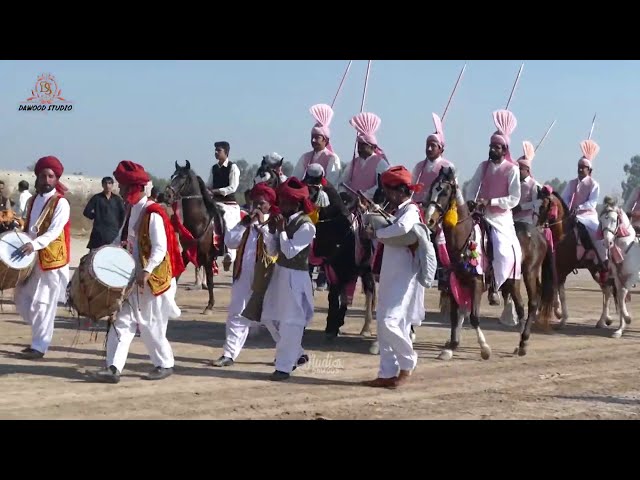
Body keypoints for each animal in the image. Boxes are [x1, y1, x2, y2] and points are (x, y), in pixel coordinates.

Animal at [166, 159, 226, 314]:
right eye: (172, 175)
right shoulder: (187, 252)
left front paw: (209, 306)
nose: (167, 195)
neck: (200, 221)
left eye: (182, 177)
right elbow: (177, 276)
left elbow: (210, 281)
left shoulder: (208, 256)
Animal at [424, 167, 556, 358]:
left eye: (445, 191)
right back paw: (520, 343)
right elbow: (456, 315)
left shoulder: (477, 282)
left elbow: (473, 316)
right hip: (513, 279)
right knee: (520, 306)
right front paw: (451, 346)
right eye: (432, 189)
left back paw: (524, 341)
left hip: (529, 272)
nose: (429, 220)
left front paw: (484, 348)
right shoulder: (456, 282)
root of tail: (539, 233)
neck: (464, 238)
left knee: (532, 303)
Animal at [536, 187, 616, 330]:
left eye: (544, 206)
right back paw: (605, 319)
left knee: (608, 290)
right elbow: (558, 290)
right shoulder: (557, 267)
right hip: (595, 270)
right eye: (538, 205)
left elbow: (561, 293)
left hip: (601, 268)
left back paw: (603, 320)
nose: (538, 226)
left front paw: (562, 318)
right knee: (606, 290)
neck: (563, 235)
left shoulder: (563, 269)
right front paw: (559, 313)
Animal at [596, 197, 636, 340]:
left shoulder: (633, 276)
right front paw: (619, 329)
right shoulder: (618, 279)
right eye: (601, 220)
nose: (607, 242)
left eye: (614, 220)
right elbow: (620, 297)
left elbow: (623, 293)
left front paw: (628, 318)